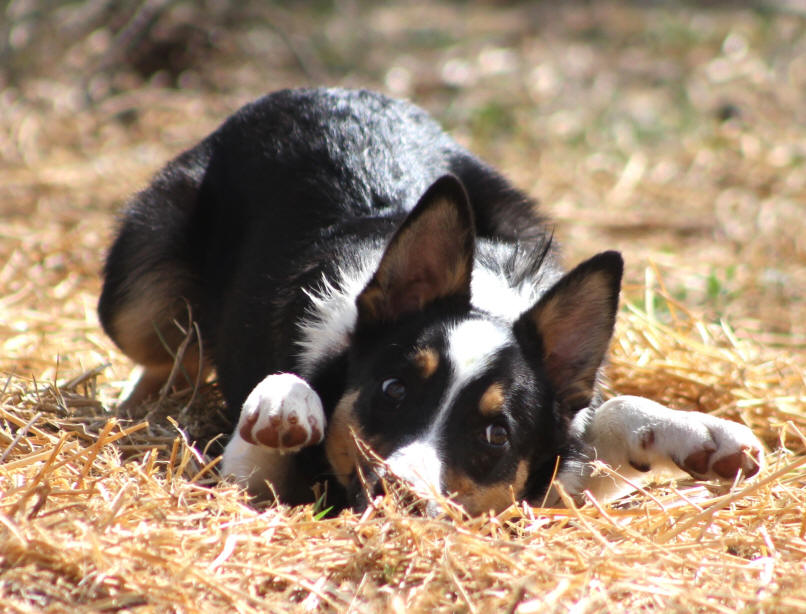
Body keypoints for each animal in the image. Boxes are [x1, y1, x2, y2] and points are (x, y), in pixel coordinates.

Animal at [99, 88, 764, 516]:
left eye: (496, 433)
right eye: (394, 390)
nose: (402, 492)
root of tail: (312, 90)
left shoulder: (554, 474)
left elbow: (611, 416)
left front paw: (696, 433)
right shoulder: (250, 481)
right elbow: (267, 428)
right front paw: (285, 400)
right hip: (139, 294)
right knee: (166, 357)